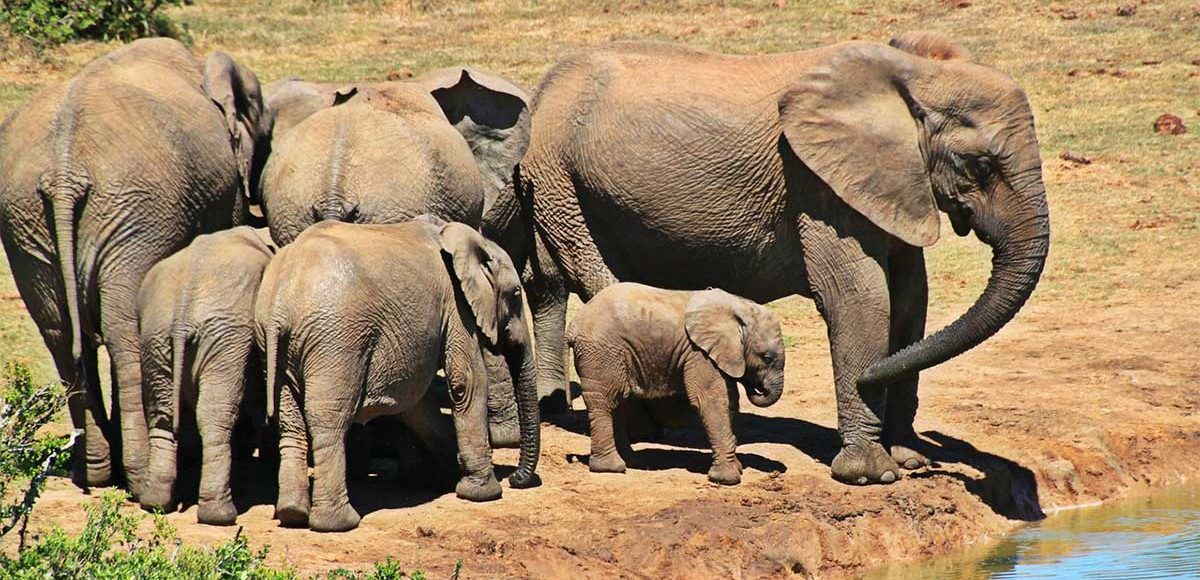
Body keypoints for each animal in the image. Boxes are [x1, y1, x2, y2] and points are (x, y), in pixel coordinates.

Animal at [0, 38, 271, 494]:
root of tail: (63, 173)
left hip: (27, 223)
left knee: (61, 335)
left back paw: (93, 472)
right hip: (135, 214)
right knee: (123, 333)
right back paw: (140, 478)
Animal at [135, 226, 275, 525]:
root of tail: (182, 316)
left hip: (154, 337)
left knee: (162, 415)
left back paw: (154, 503)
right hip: (225, 339)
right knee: (216, 416)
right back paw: (220, 515)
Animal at [253, 218, 540, 532]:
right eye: (516, 294)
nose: (516, 479)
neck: (466, 238)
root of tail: (280, 305)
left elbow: (418, 402)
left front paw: (445, 478)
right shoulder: (456, 305)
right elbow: (466, 383)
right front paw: (482, 493)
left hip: (275, 346)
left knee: (290, 423)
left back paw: (292, 514)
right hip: (336, 342)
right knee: (329, 422)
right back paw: (338, 524)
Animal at [568, 283, 785, 485]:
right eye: (766, 358)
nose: (757, 387)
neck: (740, 307)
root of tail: (574, 325)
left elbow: (730, 401)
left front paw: (737, 468)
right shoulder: (699, 354)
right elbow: (711, 401)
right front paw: (728, 479)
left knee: (618, 402)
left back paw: (631, 462)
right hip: (601, 352)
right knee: (605, 401)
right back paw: (611, 468)